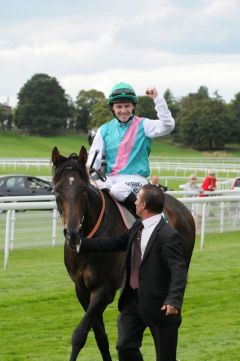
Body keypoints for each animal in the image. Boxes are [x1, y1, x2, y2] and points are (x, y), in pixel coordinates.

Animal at [51, 146, 195, 360]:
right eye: (57, 190)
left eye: (83, 189)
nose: (73, 233)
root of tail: (182, 209)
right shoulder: (81, 289)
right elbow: (100, 336)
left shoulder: (105, 289)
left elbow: (79, 334)